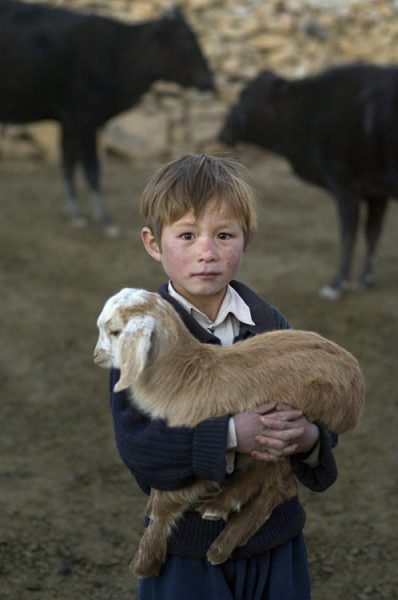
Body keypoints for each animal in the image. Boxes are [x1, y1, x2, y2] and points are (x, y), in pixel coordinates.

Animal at [0, 0, 215, 234]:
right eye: (187, 43)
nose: (210, 81)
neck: (115, 52)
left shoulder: (69, 122)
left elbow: (68, 163)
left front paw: (74, 213)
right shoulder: (85, 119)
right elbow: (92, 168)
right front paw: (103, 218)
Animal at [94, 288, 366, 580]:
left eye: (115, 332)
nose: (97, 356)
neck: (183, 374)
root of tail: (356, 382)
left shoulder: (196, 460)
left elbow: (164, 506)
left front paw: (145, 562)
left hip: (296, 421)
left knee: (276, 486)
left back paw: (221, 530)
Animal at [219, 63, 396, 298]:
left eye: (245, 97)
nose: (223, 133)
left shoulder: (345, 185)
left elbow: (348, 234)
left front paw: (337, 284)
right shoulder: (376, 192)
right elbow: (372, 232)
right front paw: (366, 279)